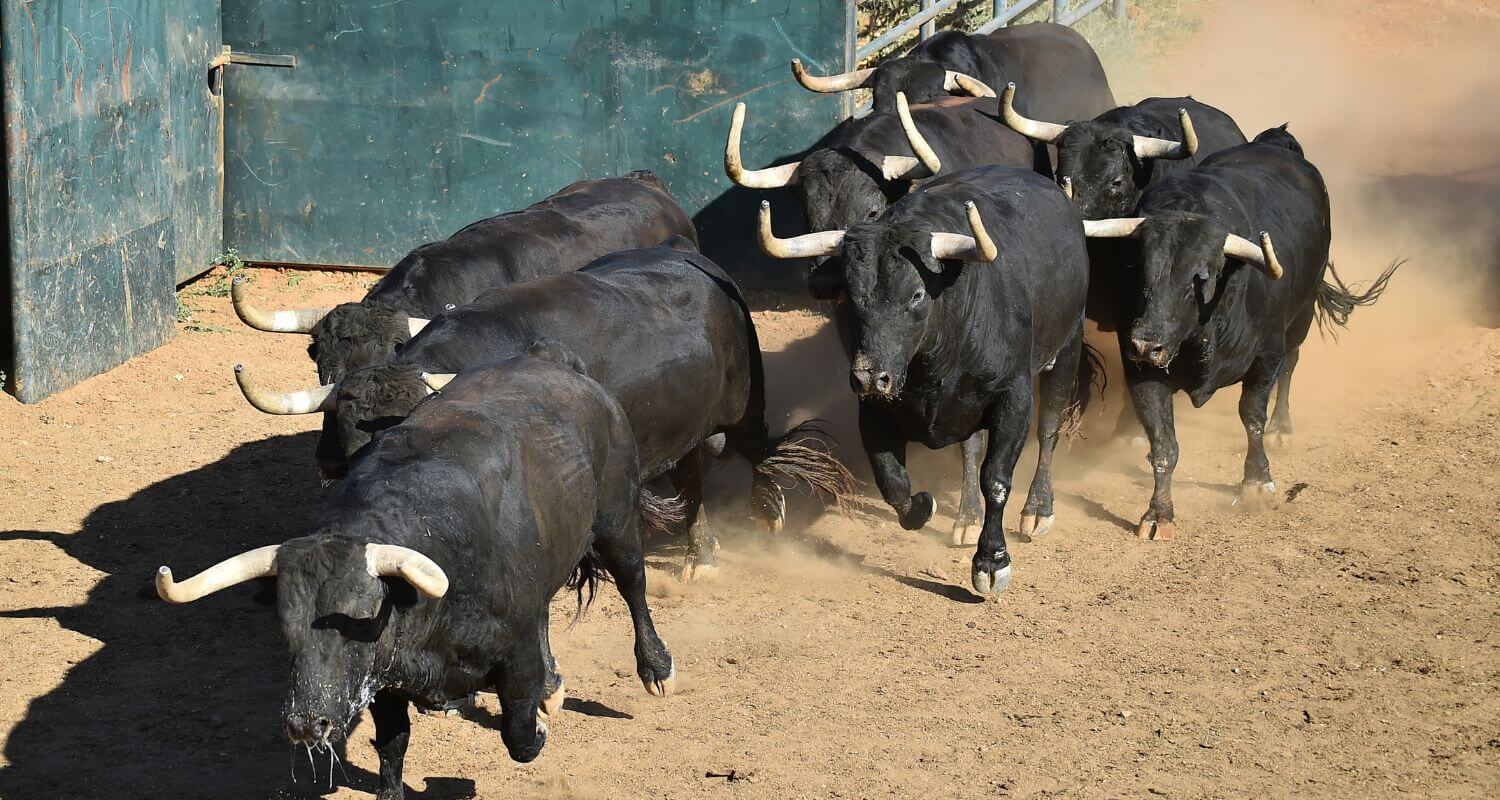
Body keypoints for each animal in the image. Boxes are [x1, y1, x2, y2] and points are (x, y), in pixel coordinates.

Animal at [161, 351, 672, 798]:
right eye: (284, 627)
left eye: (357, 620)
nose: (306, 724)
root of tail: (562, 365)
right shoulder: (385, 683)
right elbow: (393, 743)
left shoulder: (516, 651)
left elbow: (519, 735)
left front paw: (540, 722)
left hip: (617, 520)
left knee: (632, 583)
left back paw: (655, 667)